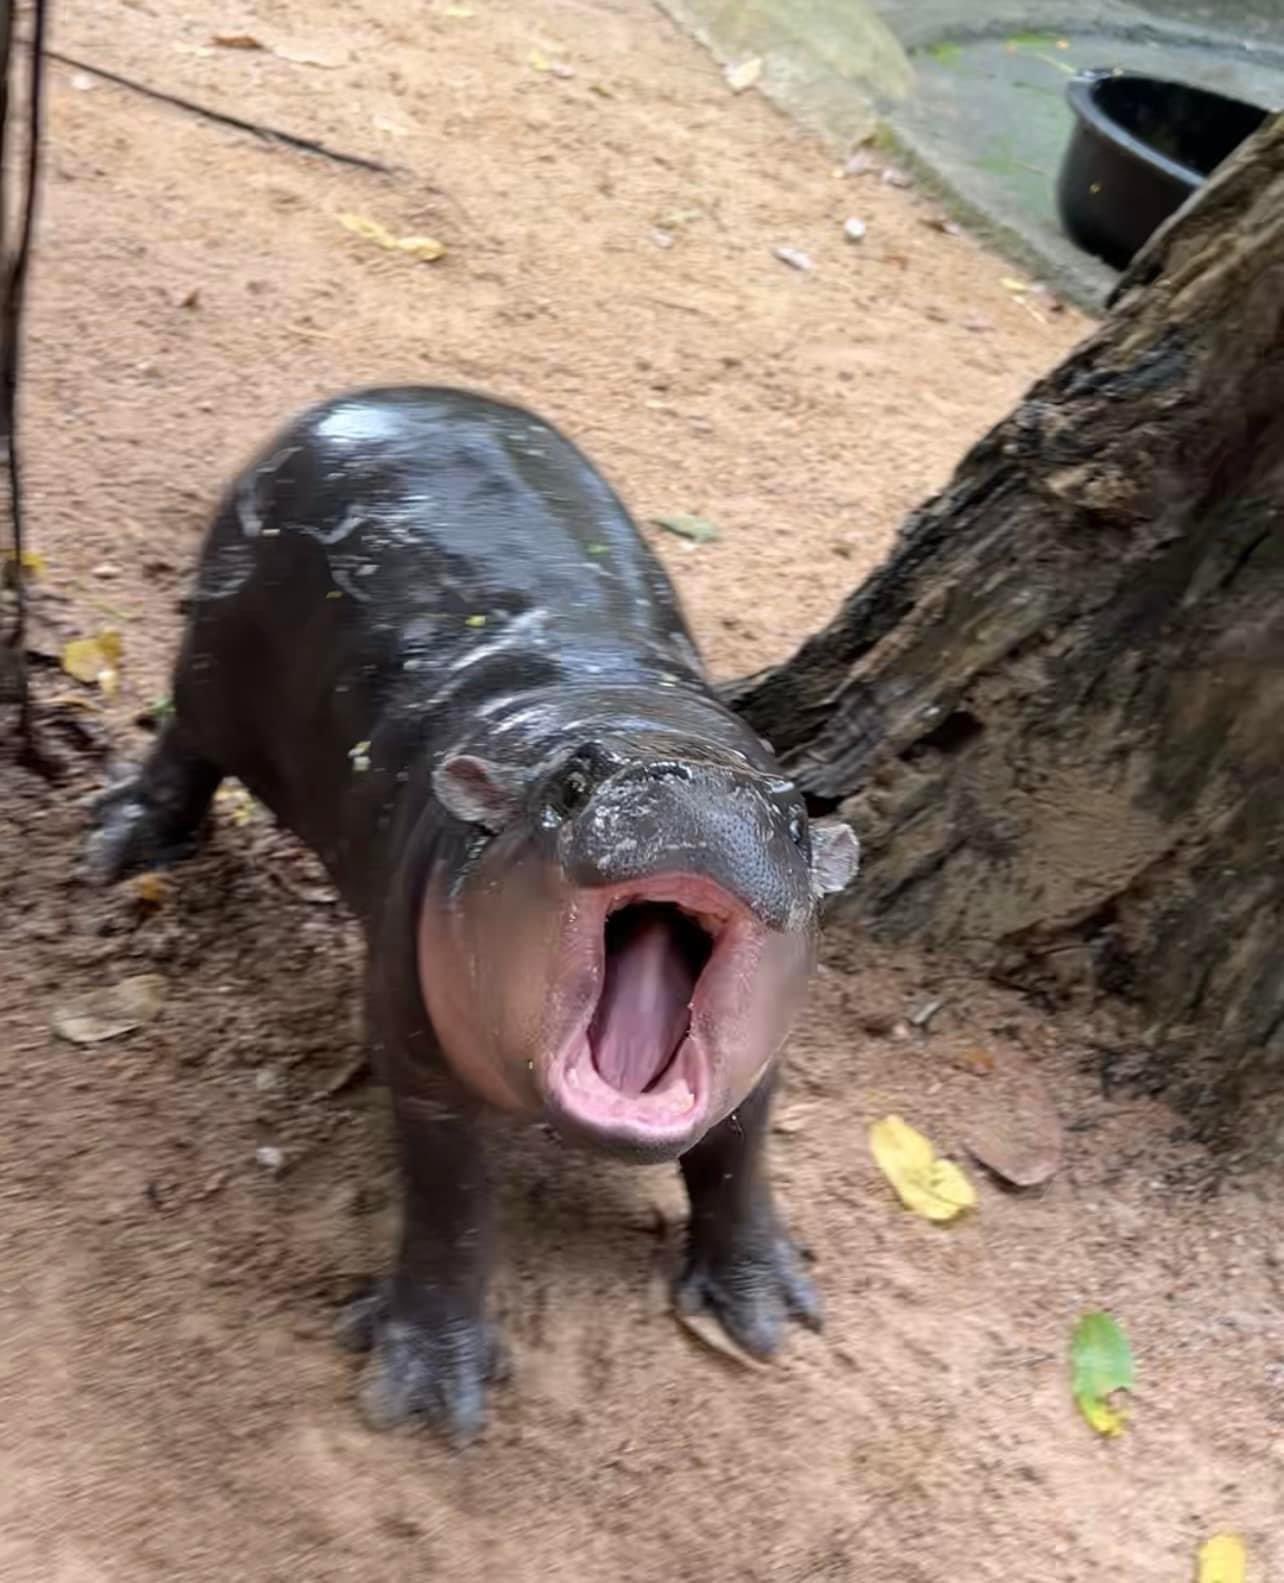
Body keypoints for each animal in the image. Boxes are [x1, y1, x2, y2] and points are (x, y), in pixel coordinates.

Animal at [87, 387, 860, 1443]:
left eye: (789, 813)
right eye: (572, 783)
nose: (696, 797)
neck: (636, 713)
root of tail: (367, 393)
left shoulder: (758, 1059)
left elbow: (738, 1158)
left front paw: (768, 1306)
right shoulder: (417, 1043)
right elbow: (451, 1198)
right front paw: (424, 1389)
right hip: (211, 661)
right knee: (182, 744)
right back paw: (120, 845)